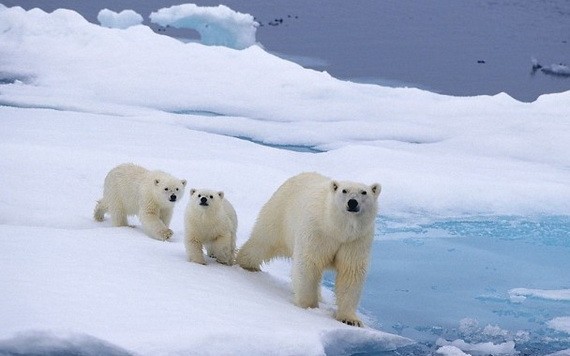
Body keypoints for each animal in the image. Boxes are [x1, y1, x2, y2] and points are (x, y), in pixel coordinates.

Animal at [235, 171, 382, 326]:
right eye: (344, 190)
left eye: (364, 192)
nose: (352, 202)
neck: (336, 228)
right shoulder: (317, 231)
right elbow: (309, 263)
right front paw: (309, 307)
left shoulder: (356, 240)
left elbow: (350, 271)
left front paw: (350, 319)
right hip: (279, 214)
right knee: (262, 242)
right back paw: (247, 264)